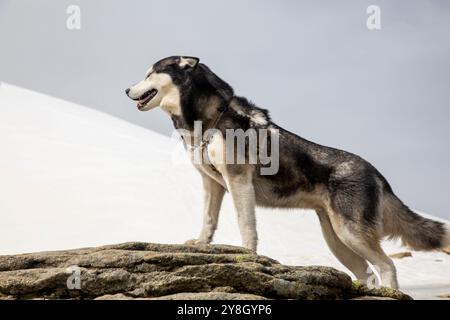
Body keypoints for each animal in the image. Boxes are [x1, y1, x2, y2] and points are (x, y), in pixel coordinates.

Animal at [126, 55, 450, 288]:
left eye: (149, 74)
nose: (126, 89)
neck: (210, 119)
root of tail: (378, 175)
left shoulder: (238, 181)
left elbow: (246, 225)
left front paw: (248, 255)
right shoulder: (212, 183)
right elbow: (208, 219)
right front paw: (201, 244)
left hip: (351, 234)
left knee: (387, 266)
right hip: (337, 241)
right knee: (367, 274)